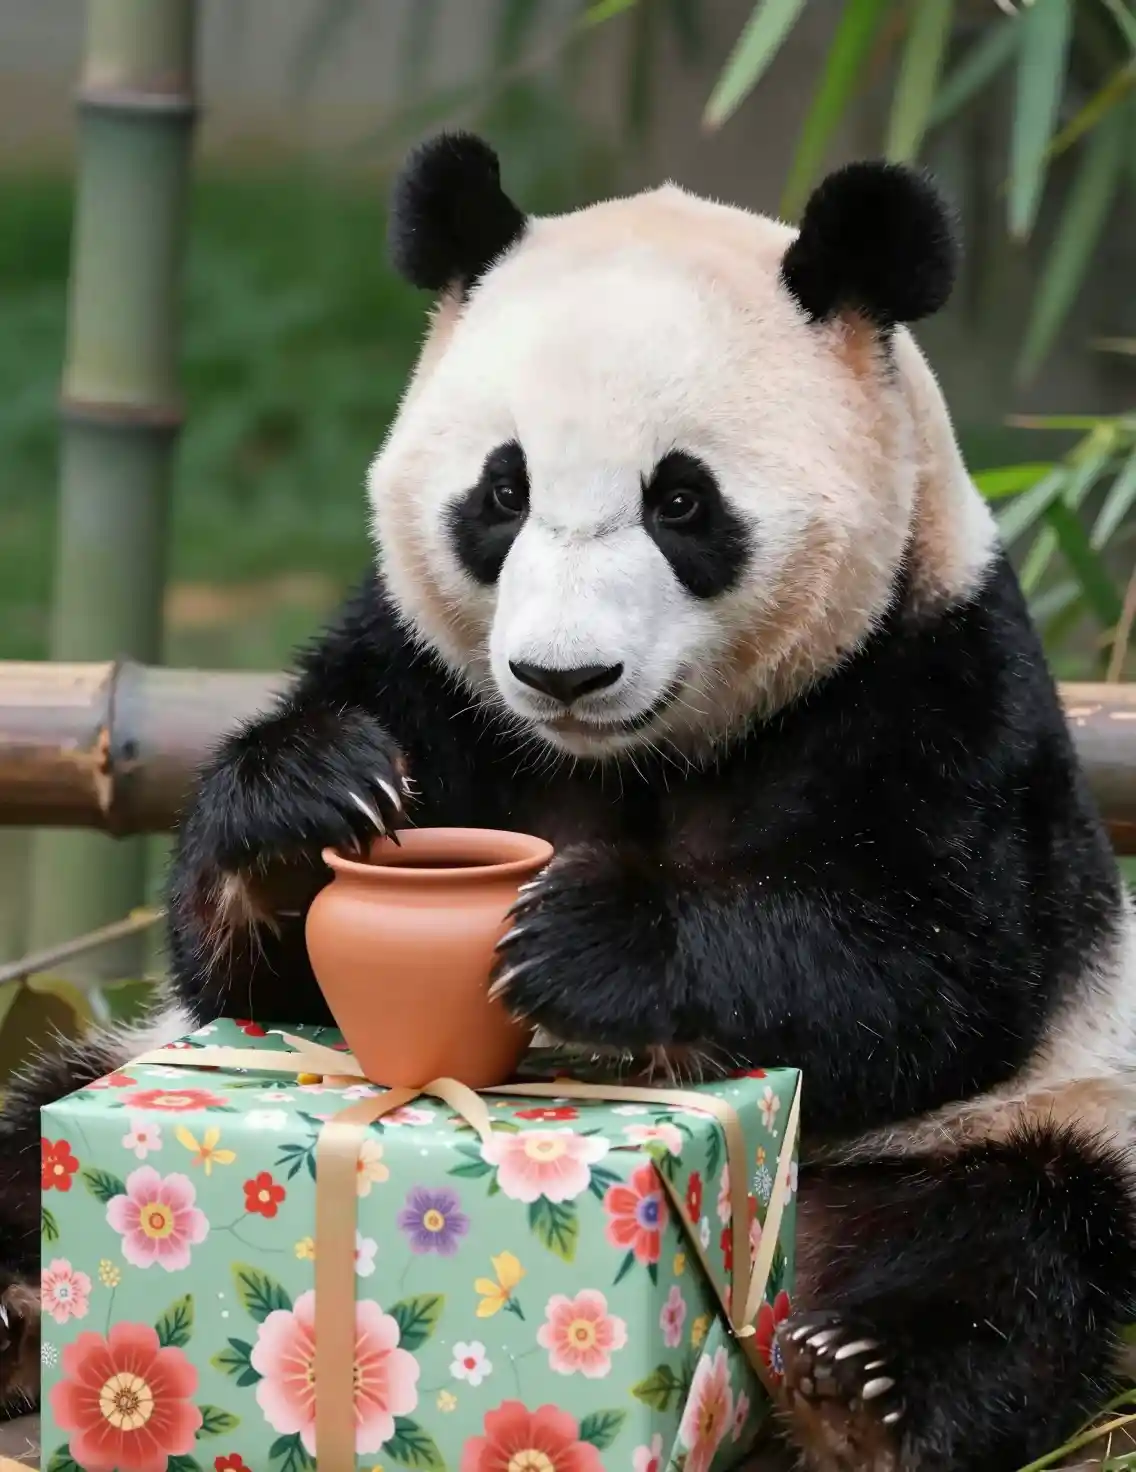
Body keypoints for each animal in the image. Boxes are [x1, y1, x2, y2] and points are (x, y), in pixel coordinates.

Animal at [1, 130, 1135, 1471]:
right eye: (501, 492)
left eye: (680, 500)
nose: (563, 674)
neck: (637, 756)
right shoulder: (423, 671)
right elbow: (258, 981)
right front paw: (306, 810)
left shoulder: (938, 681)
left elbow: (932, 965)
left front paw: (586, 942)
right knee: (23, 1126)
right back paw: (13, 1308)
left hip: (1035, 1119)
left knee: (1016, 1245)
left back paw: (859, 1387)